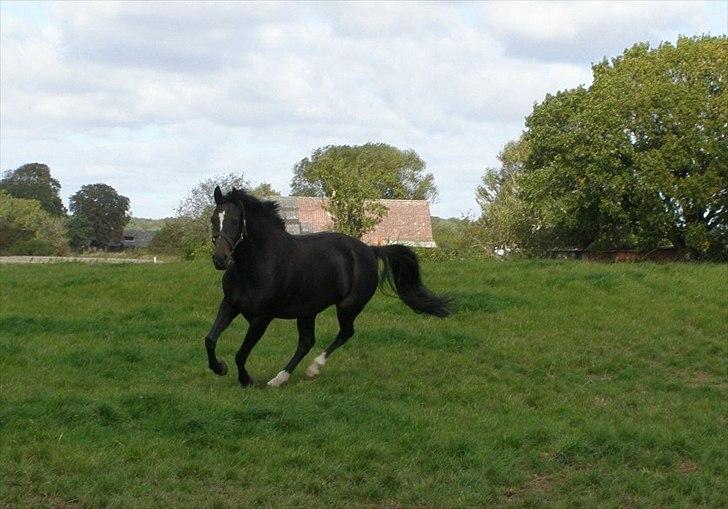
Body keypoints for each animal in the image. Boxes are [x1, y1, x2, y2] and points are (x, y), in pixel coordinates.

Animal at [205, 187, 452, 384]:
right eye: (213, 219)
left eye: (235, 220)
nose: (220, 259)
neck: (258, 265)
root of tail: (370, 250)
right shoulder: (230, 305)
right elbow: (210, 339)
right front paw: (219, 368)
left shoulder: (262, 318)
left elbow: (241, 352)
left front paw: (245, 379)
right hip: (307, 311)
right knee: (306, 342)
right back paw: (280, 379)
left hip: (348, 306)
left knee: (345, 333)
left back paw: (311, 370)